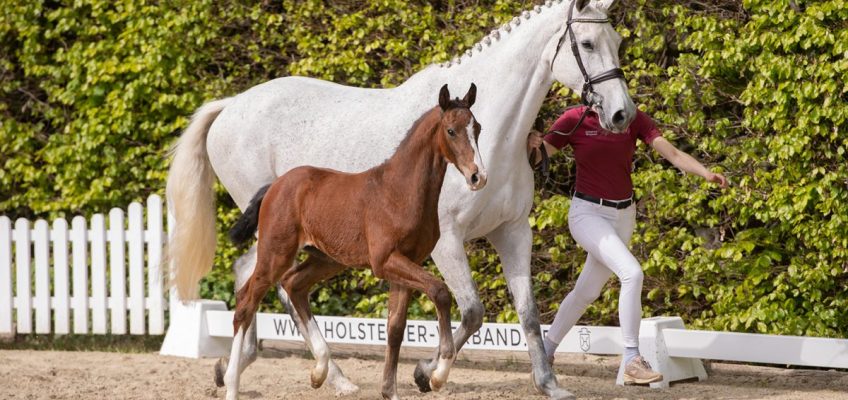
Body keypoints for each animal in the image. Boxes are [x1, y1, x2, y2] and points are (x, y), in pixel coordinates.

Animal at [222, 83, 486, 398]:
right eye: (451, 131)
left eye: (477, 128)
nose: (478, 176)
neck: (400, 191)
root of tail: (275, 185)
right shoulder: (385, 261)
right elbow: (440, 292)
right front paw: (437, 375)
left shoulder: (405, 264)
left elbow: (395, 328)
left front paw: (391, 391)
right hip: (275, 253)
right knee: (246, 302)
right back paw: (231, 385)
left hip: (326, 259)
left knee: (294, 285)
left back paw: (319, 372)